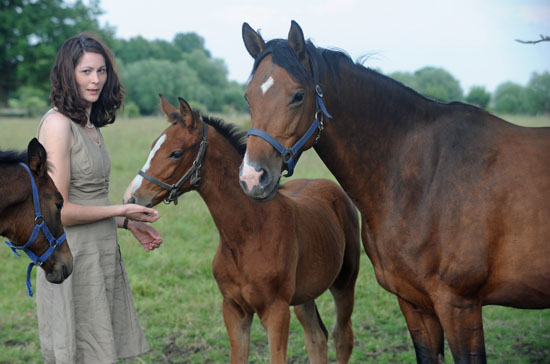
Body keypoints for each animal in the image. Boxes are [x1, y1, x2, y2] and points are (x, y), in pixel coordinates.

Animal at [123, 95, 362, 362]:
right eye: (152, 146)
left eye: (175, 153)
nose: (131, 197)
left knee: (342, 337)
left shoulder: (276, 311)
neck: (248, 234)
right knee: (316, 338)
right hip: (304, 295)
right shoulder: (233, 308)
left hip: (344, 281)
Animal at [240, 20, 550, 364]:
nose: (252, 177)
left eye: (298, 95)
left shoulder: (460, 305)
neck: (420, 177)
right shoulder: (413, 303)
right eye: (248, 97)